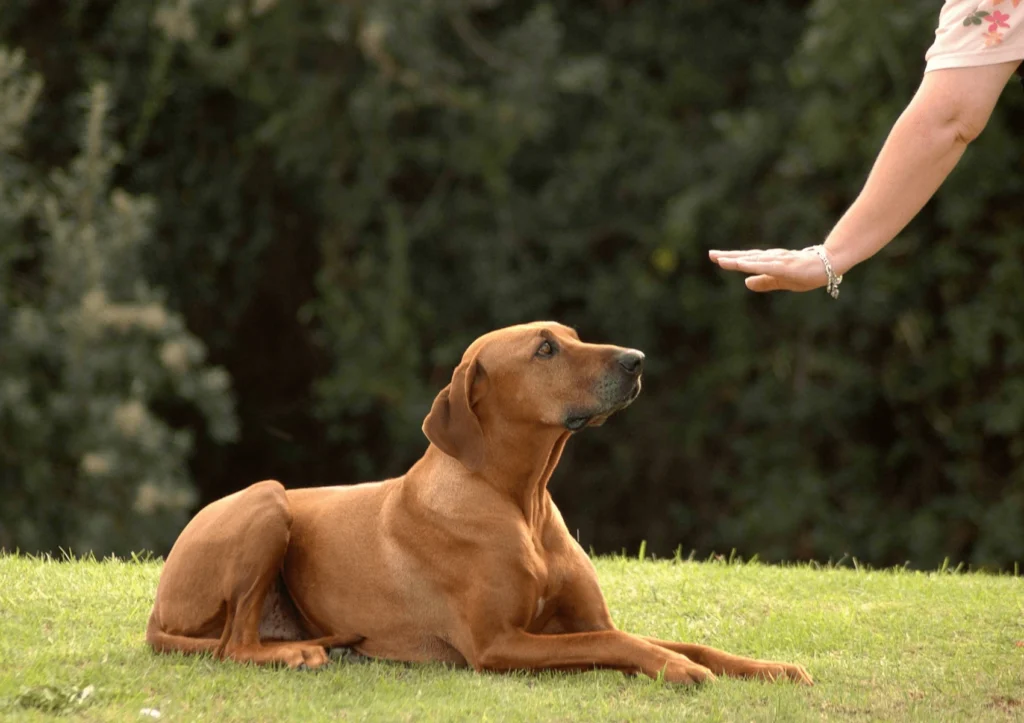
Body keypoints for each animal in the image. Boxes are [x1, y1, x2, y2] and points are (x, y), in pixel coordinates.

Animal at [146, 319, 815, 679]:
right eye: (545, 349)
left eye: (573, 336)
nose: (637, 359)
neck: (521, 501)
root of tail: (156, 609)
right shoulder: (499, 644)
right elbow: (618, 643)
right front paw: (677, 670)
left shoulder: (584, 618)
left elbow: (675, 639)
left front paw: (770, 668)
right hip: (268, 499)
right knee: (233, 646)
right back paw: (296, 656)